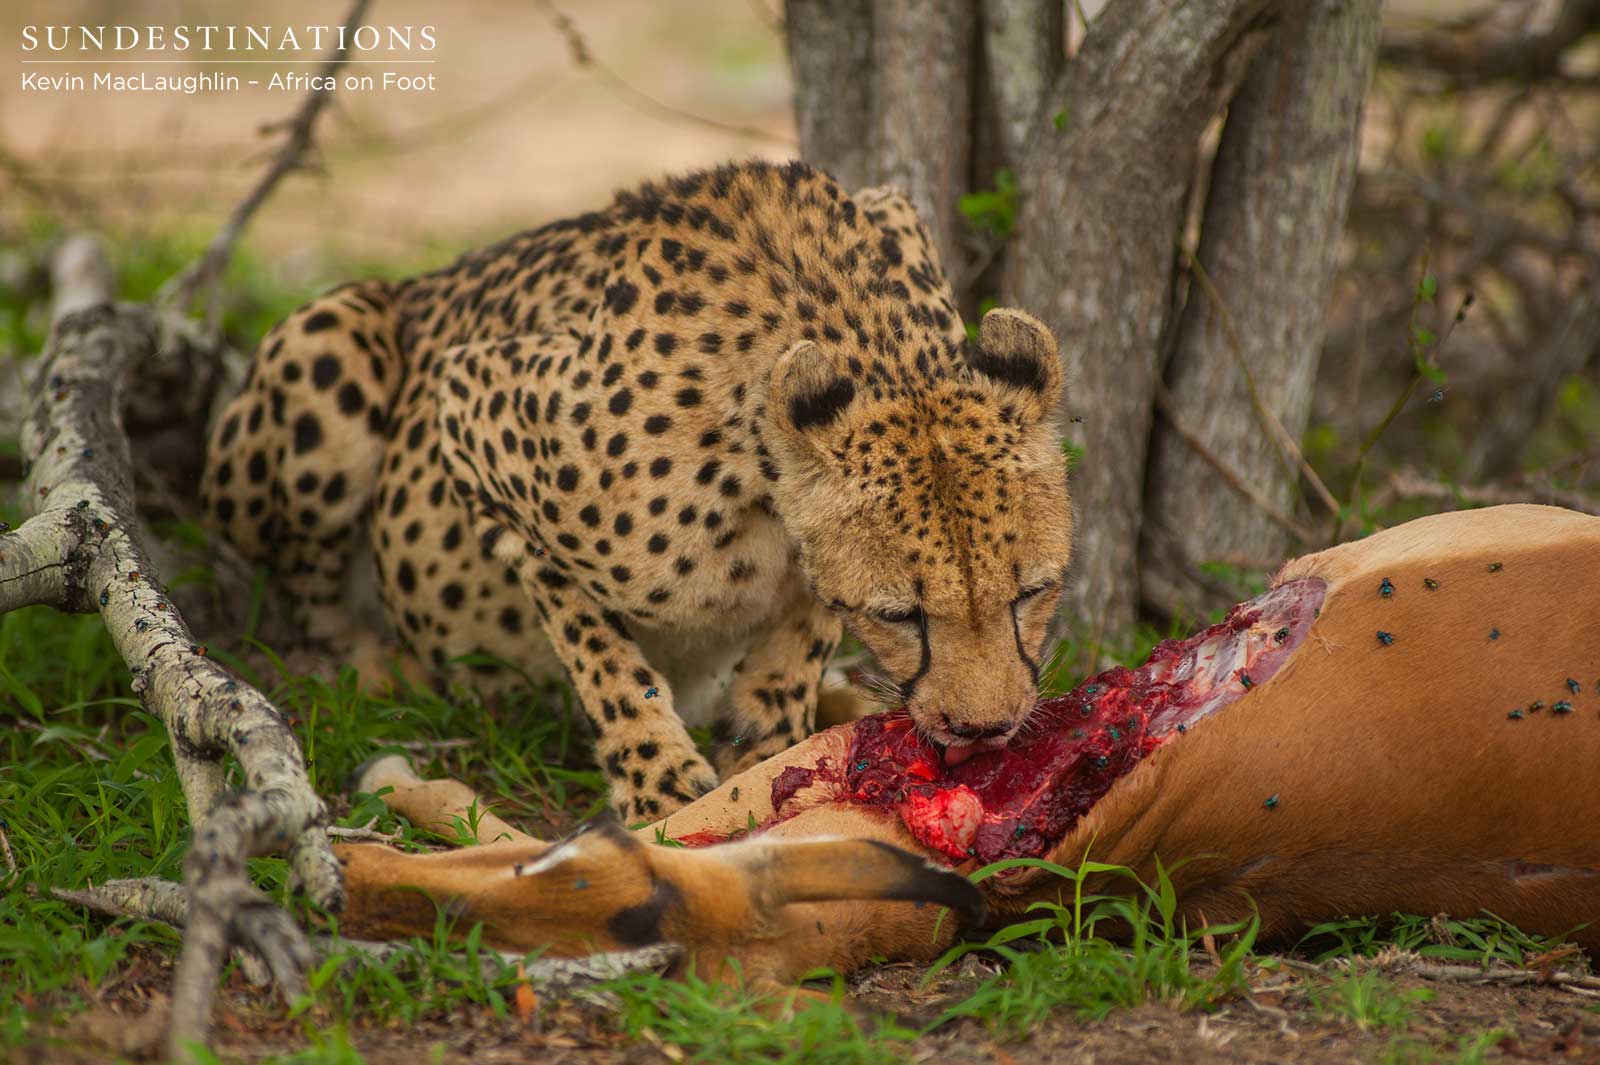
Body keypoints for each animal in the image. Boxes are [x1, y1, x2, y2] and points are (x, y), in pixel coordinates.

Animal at [203, 161, 1075, 815]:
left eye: (1033, 591)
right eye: (900, 614)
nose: (987, 727)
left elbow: (808, 612)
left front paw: (772, 724)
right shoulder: (472, 401)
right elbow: (594, 640)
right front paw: (656, 776)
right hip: (332, 342)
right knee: (305, 597)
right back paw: (371, 664)